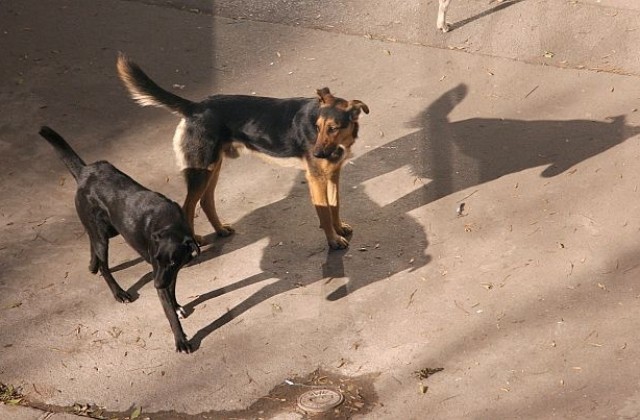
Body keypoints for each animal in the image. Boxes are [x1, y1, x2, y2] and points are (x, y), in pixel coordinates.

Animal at [38, 126, 199, 352]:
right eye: (156, 258)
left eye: (173, 262)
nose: (156, 285)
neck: (169, 223)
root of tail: (85, 172)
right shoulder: (159, 272)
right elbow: (169, 313)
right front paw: (181, 340)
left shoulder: (170, 272)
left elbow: (172, 290)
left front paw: (176, 306)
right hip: (103, 237)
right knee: (105, 267)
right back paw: (118, 292)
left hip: (108, 229)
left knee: (92, 240)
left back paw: (92, 265)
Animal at [116, 53, 370, 249]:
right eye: (317, 127)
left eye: (333, 128)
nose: (316, 154)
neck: (339, 142)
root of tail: (195, 107)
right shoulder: (316, 178)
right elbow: (325, 212)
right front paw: (333, 240)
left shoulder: (334, 174)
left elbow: (335, 205)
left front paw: (339, 228)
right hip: (201, 169)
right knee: (188, 206)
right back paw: (196, 240)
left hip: (213, 167)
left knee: (206, 201)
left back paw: (220, 229)